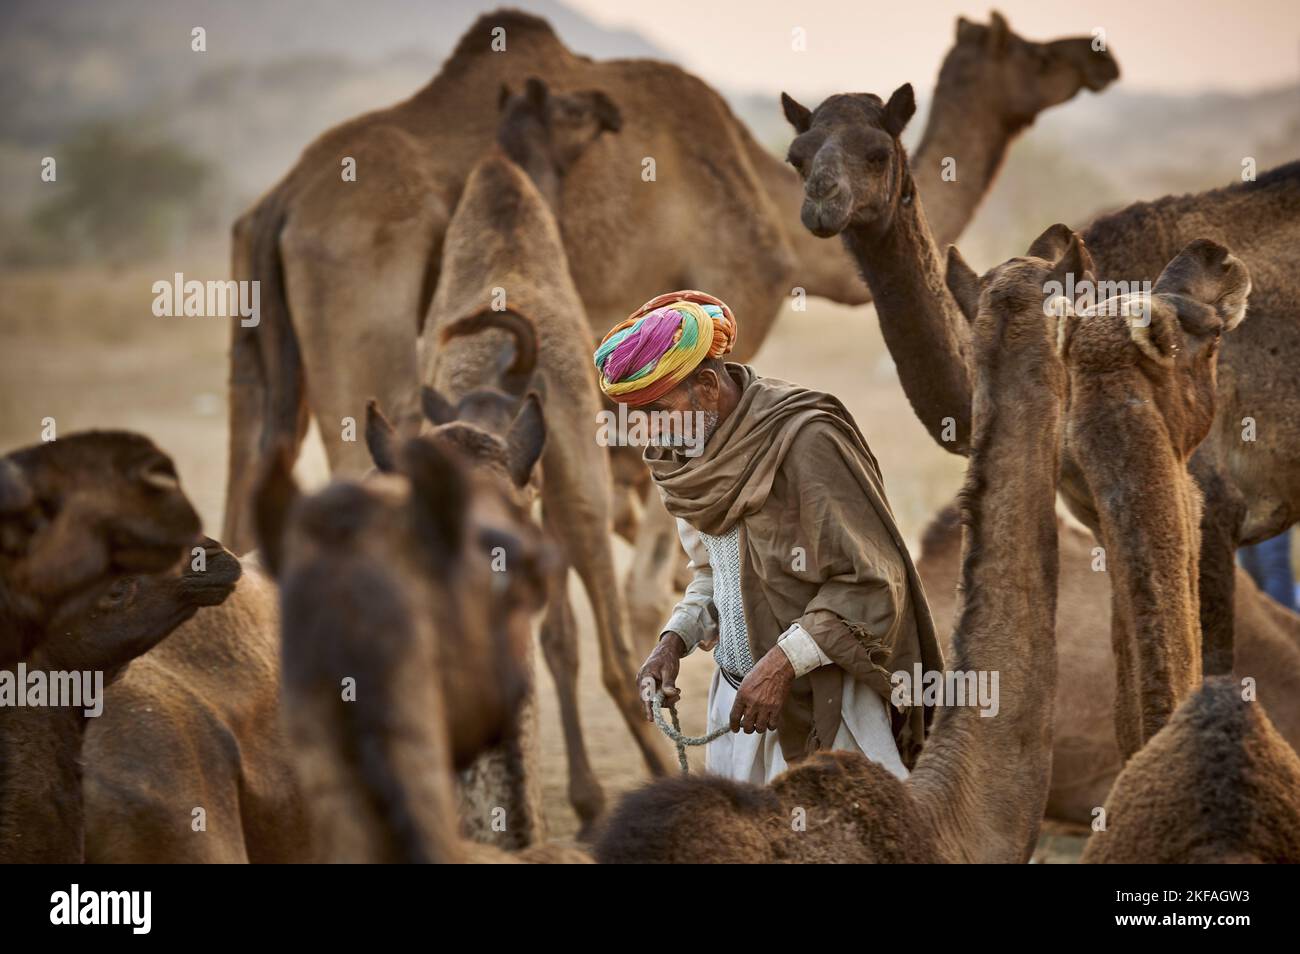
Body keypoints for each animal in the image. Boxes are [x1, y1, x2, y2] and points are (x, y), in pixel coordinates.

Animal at [220, 9, 1118, 556]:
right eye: (1035, 52)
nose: (1096, 55)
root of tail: (284, 201)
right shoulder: (738, 293)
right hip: (361, 308)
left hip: (255, 329)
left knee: (249, 463)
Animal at [594, 226, 1074, 863]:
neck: (944, 824)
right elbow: (704, 572)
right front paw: (660, 664)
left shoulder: (823, 454)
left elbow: (861, 584)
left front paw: (754, 682)